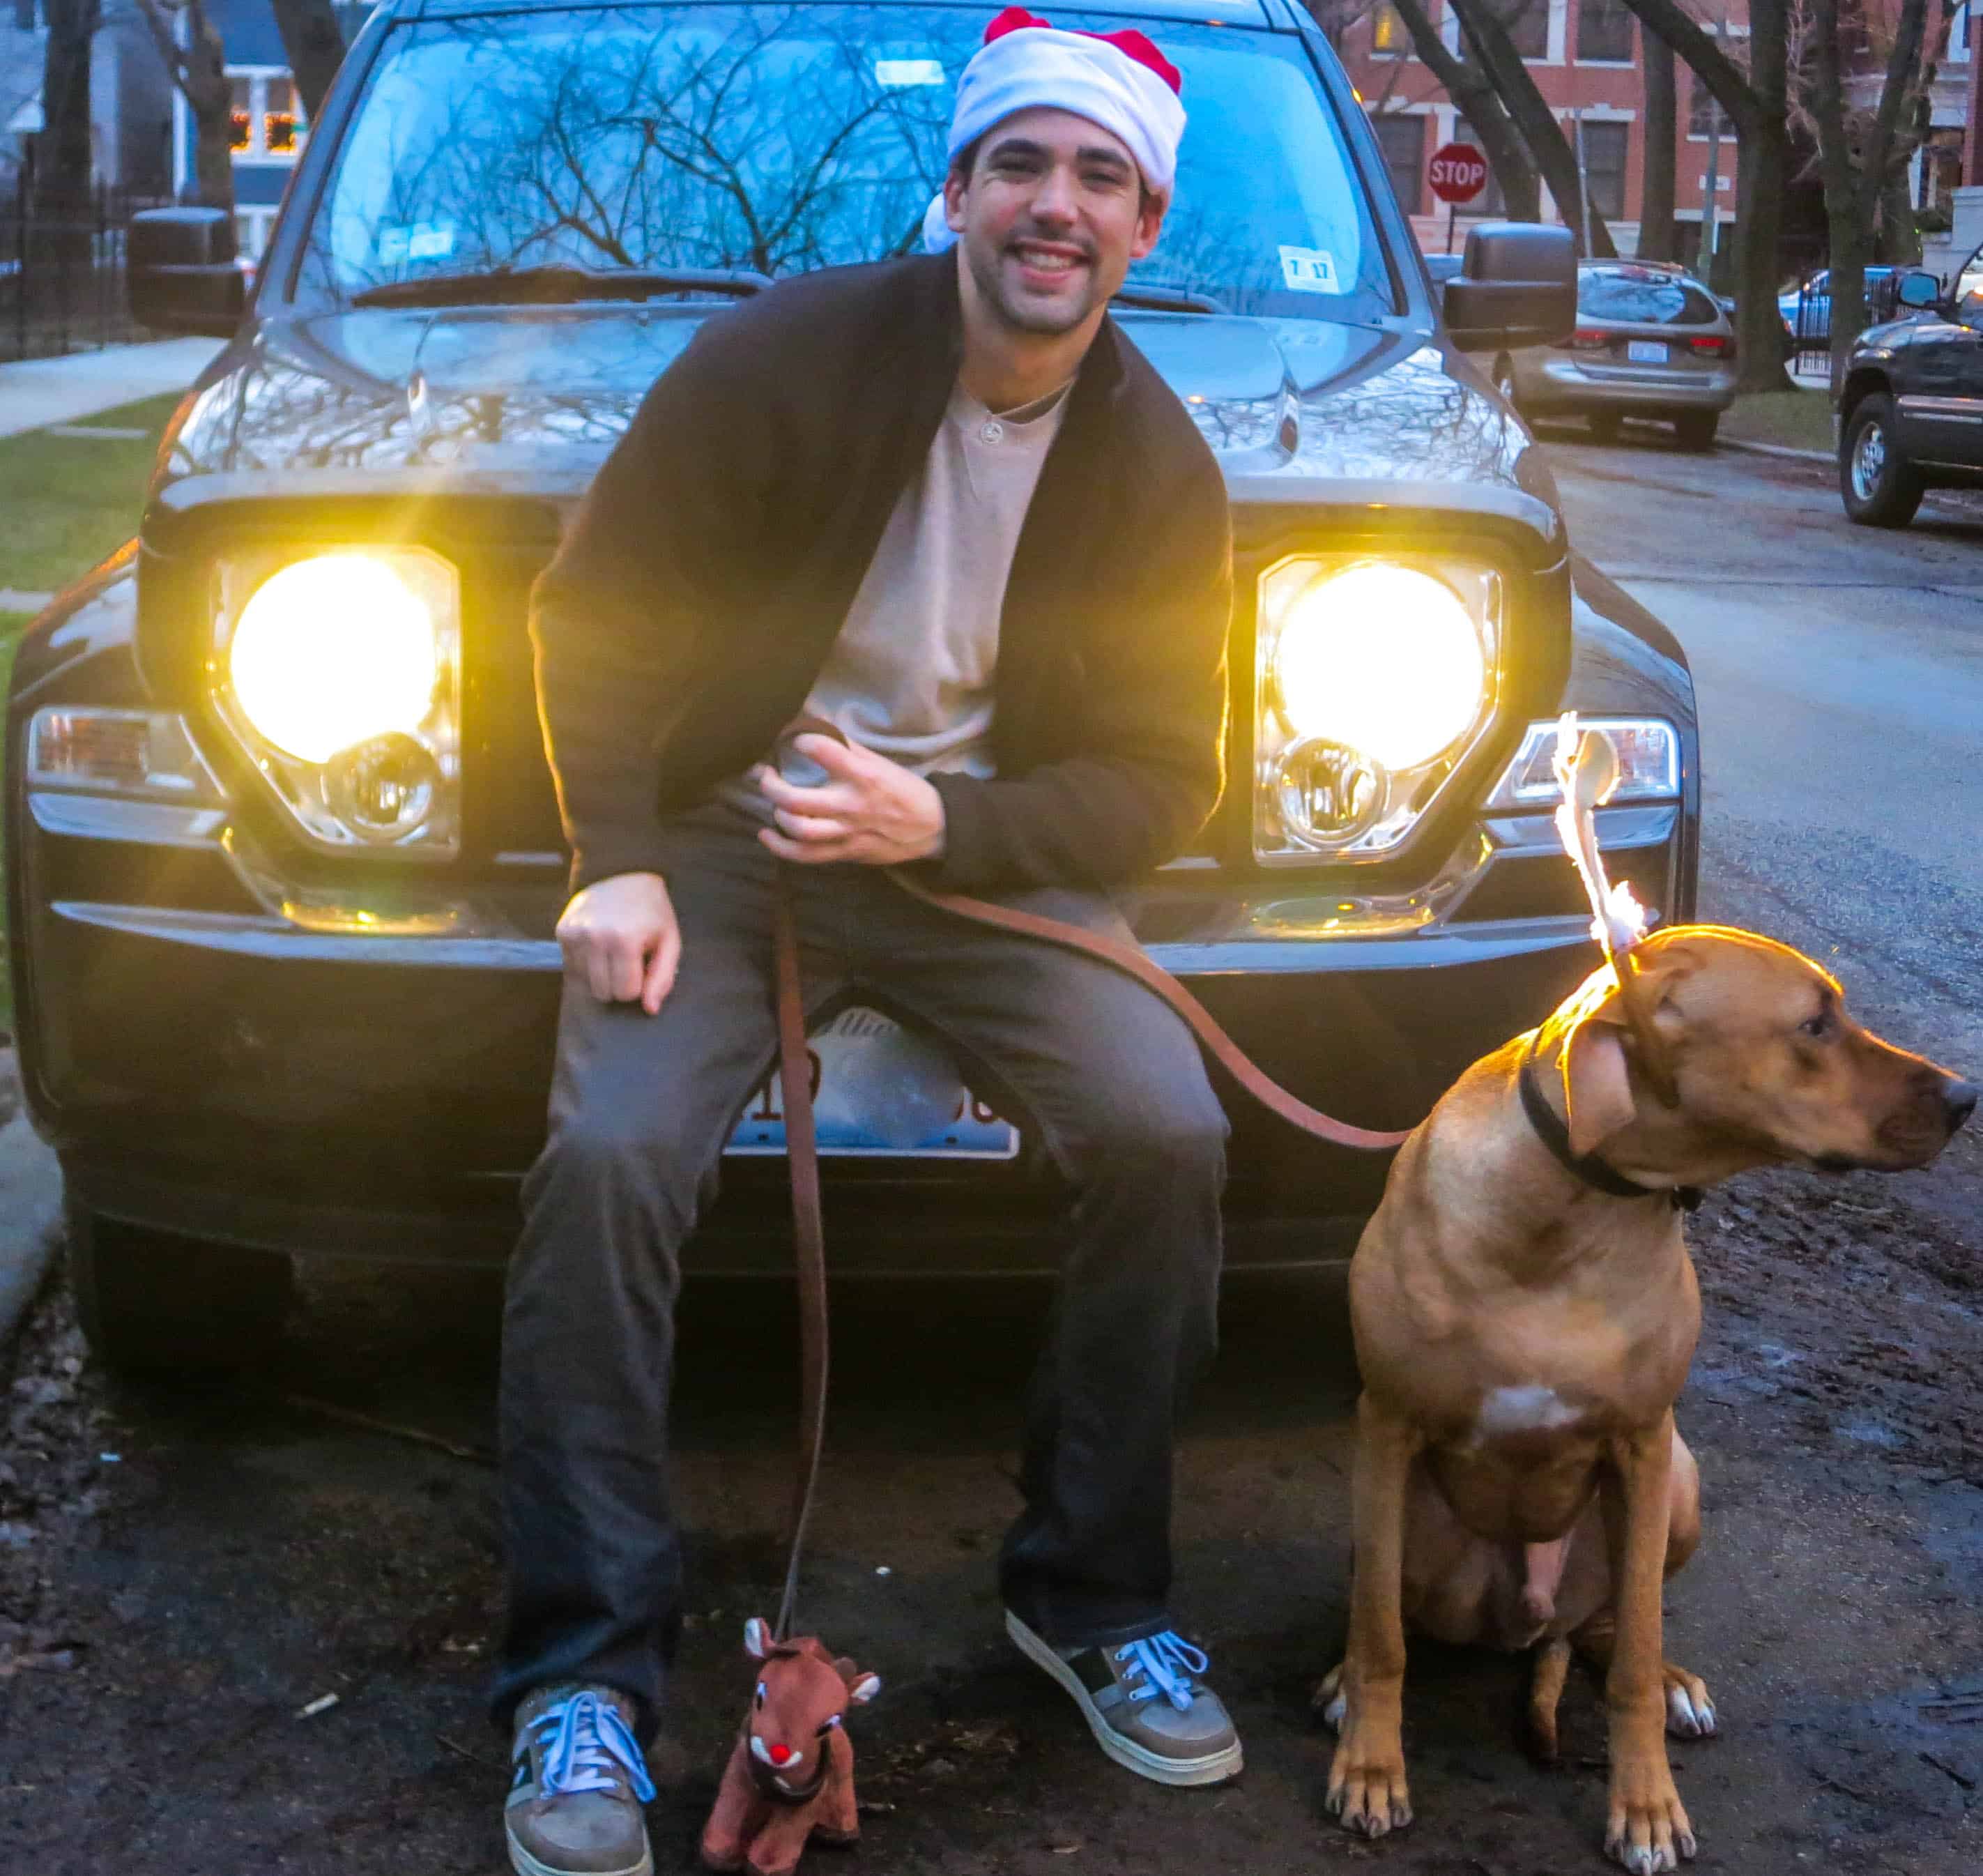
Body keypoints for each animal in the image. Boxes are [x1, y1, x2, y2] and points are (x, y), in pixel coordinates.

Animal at [702, 1618, 880, 1863]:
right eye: (759, 1696)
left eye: (828, 1725)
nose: (779, 1753)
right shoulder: (740, 1770)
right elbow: (732, 1804)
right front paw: (718, 1853)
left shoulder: (809, 1797)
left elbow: (787, 1829)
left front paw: (767, 1865)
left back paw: (839, 1836)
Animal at [1317, 924, 1967, 1872]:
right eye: (1813, 1025)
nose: (1966, 1096)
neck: (1568, 1206)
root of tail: (1527, 1623)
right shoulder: (1388, 1423)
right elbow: (1380, 1641)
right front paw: (1369, 1767)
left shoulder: (1644, 1441)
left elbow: (1631, 1650)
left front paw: (1647, 1806)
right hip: (1392, 1518)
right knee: (1390, 1611)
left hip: (1676, 1490)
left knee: (1612, 1629)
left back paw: (1671, 1684)